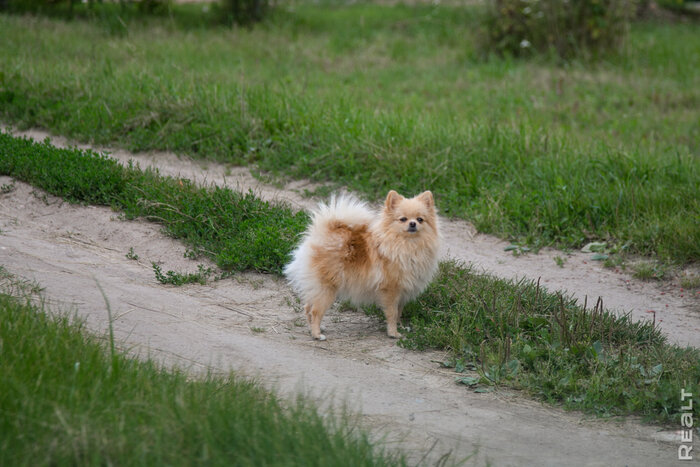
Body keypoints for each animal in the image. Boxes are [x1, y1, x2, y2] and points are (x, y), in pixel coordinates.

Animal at [284, 190, 438, 340]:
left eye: (420, 219)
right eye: (403, 219)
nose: (412, 224)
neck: (408, 245)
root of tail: (320, 235)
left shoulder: (402, 292)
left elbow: (399, 312)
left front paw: (400, 327)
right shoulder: (391, 290)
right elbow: (392, 313)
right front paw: (393, 333)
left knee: (308, 308)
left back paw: (315, 329)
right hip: (326, 288)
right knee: (315, 310)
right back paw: (317, 334)